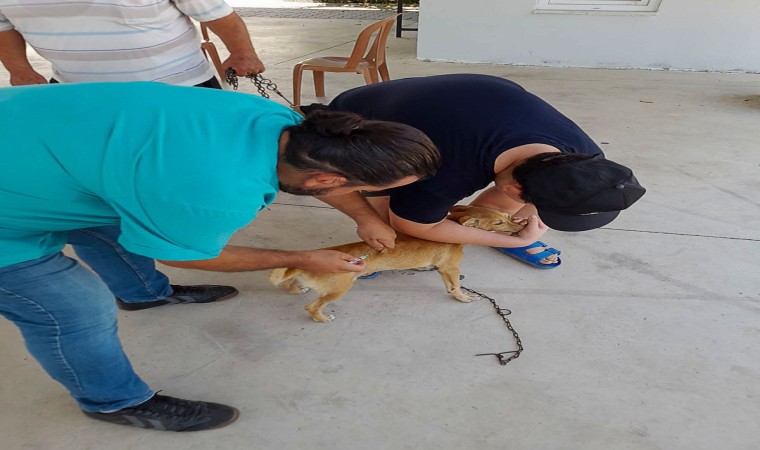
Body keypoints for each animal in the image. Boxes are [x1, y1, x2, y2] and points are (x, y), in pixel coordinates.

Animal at [268, 204, 524, 324]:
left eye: (506, 216)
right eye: (499, 223)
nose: (521, 226)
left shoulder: (441, 268)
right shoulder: (450, 268)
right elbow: (456, 288)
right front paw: (464, 298)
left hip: (307, 279)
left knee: (291, 283)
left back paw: (297, 288)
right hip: (339, 288)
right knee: (312, 307)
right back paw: (321, 318)